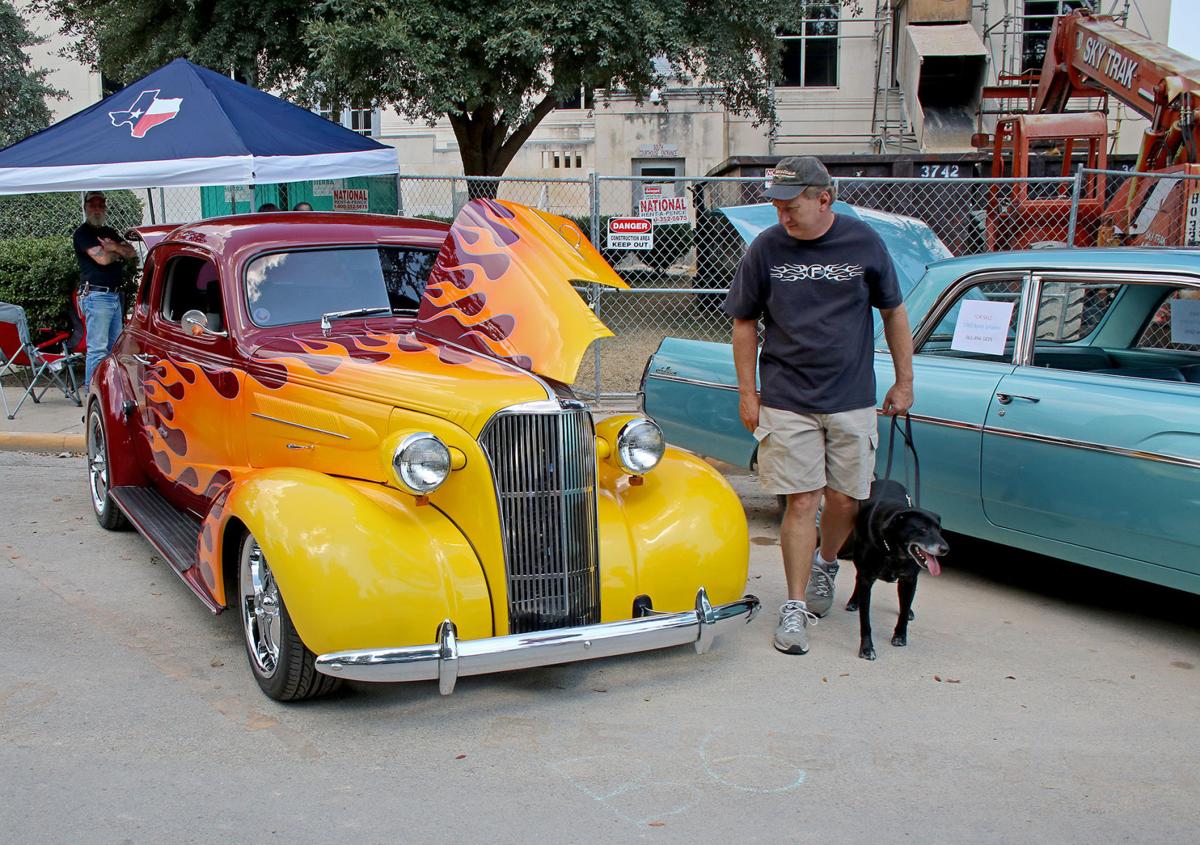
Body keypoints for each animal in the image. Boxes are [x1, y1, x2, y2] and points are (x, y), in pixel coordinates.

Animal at [844, 477, 945, 657]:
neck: (892, 550)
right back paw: (854, 601)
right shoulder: (866, 578)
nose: (945, 549)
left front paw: (900, 635)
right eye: (922, 529)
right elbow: (865, 620)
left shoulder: (910, 579)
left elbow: (903, 612)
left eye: (939, 530)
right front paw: (867, 648)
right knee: (857, 579)